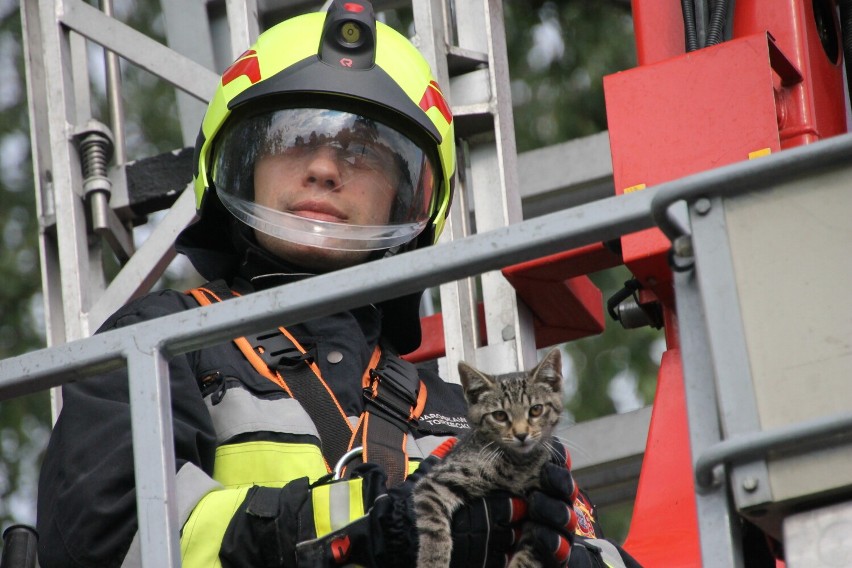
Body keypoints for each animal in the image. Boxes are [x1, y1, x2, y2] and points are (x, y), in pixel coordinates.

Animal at [414, 346, 564, 568]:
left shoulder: (543, 510)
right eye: (499, 415)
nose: (521, 434)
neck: (517, 465)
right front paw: (432, 561)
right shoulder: (435, 481)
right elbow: (434, 527)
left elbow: (532, 548)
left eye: (536, 410)